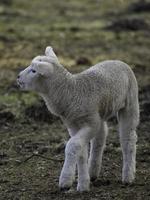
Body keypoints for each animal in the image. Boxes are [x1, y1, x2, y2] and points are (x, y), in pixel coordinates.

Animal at [17, 46, 139, 191]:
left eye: (34, 70)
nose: (18, 77)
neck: (71, 91)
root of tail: (119, 61)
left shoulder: (90, 123)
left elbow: (73, 145)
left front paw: (65, 180)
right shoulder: (74, 125)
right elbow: (81, 152)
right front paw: (83, 185)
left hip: (130, 101)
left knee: (128, 138)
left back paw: (128, 176)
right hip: (100, 112)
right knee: (101, 136)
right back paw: (93, 172)